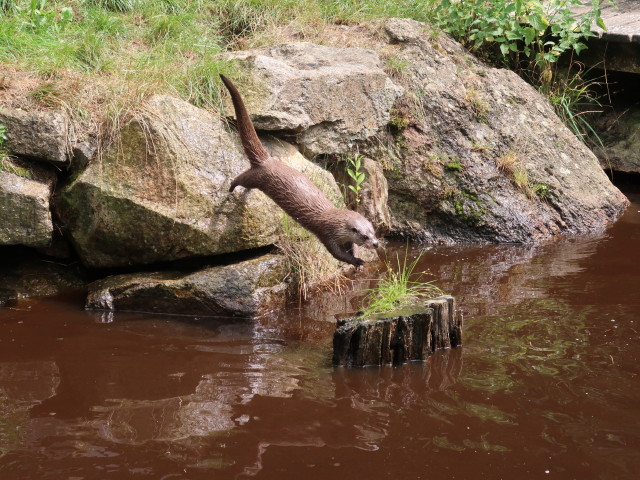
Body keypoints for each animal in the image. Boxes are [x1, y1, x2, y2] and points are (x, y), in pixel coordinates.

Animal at [221, 74, 380, 266]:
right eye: (365, 237)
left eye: (373, 231)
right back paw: (230, 188)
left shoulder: (344, 238)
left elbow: (350, 247)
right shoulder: (327, 234)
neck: (335, 221)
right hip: (257, 177)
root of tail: (267, 160)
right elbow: (338, 254)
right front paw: (356, 261)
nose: (376, 244)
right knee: (240, 178)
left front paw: (356, 257)